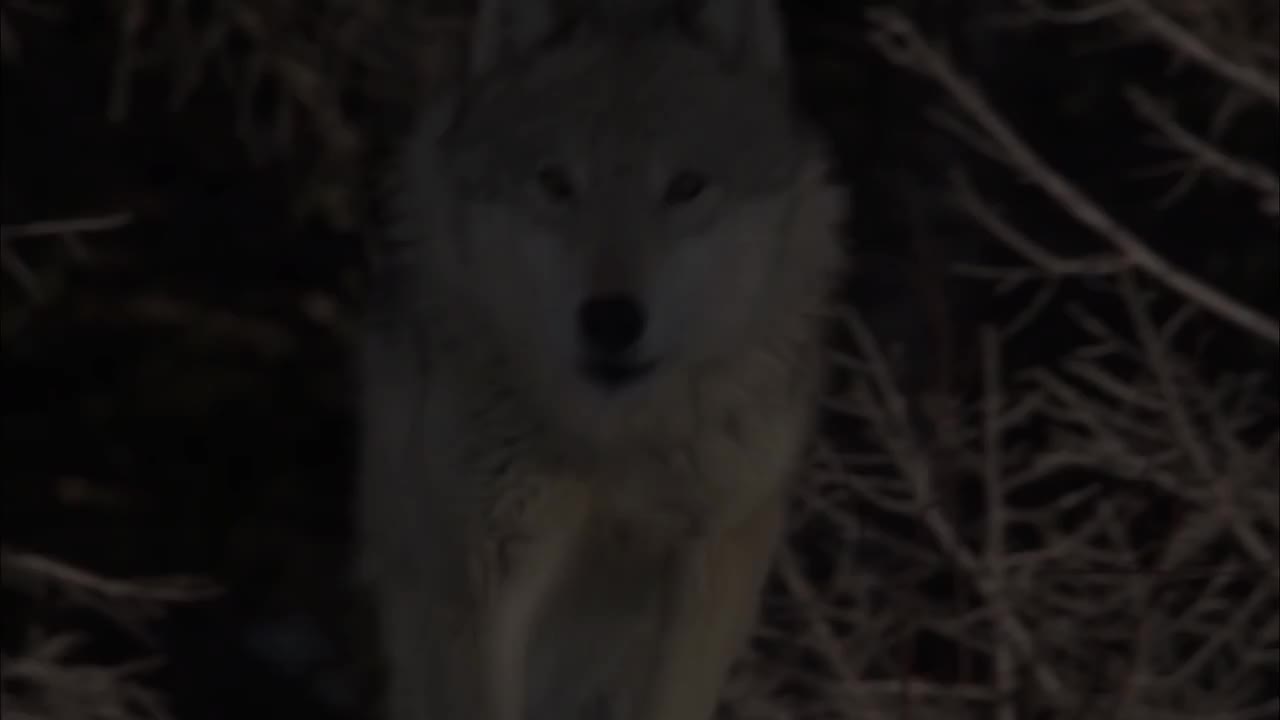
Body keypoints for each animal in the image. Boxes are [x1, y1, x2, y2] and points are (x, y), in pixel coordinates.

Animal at [356, 0, 846, 718]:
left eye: (685, 186)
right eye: (556, 183)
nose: (611, 319)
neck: (612, 439)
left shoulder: (711, 562)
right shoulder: (487, 574)